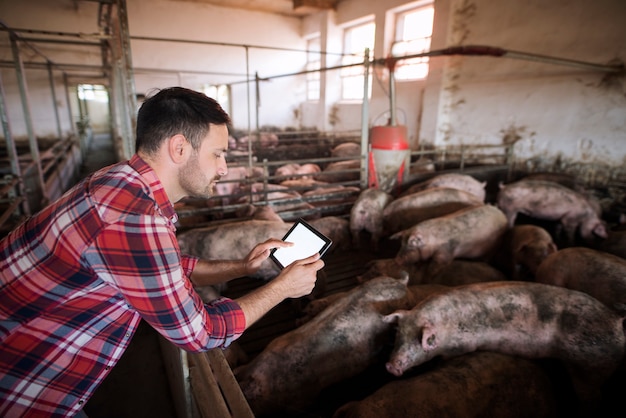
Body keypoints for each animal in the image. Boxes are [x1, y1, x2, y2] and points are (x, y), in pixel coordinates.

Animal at [382, 280, 620, 404]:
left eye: (422, 341)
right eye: (398, 336)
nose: (391, 366)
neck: (447, 325)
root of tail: (617, 321)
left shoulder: (461, 346)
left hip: (588, 365)